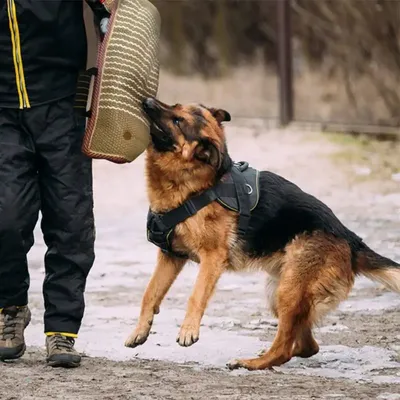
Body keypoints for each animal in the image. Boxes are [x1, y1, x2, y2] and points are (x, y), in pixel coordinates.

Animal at [124, 97, 396, 372]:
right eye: (175, 105)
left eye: (178, 121)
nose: (147, 100)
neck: (196, 183)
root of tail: (350, 238)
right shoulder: (170, 256)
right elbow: (150, 293)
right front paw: (140, 330)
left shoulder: (212, 258)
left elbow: (196, 295)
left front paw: (188, 330)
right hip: (280, 291)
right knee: (308, 346)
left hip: (288, 291)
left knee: (284, 347)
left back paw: (250, 362)